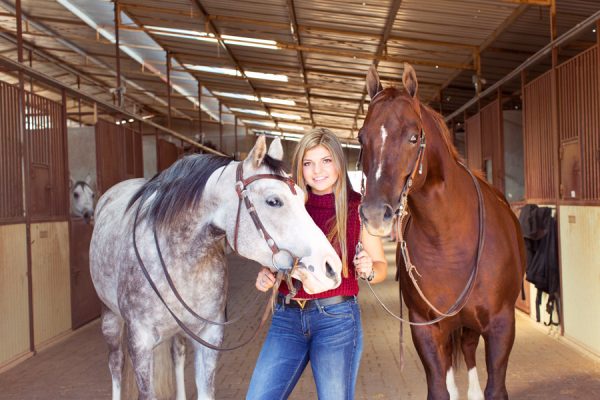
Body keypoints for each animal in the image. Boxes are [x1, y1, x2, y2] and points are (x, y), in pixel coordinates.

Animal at [90, 136, 342, 398]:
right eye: (274, 201)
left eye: (303, 198)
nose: (331, 268)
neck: (179, 261)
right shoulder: (140, 342)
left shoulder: (209, 336)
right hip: (110, 318)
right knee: (116, 364)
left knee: (178, 354)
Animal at [356, 64, 524, 398]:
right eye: (361, 137)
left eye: (413, 137)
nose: (375, 213)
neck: (449, 241)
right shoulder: (425, 327)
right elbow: (439, 387)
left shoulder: (501, 325)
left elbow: (495, 387)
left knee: (469, 351)